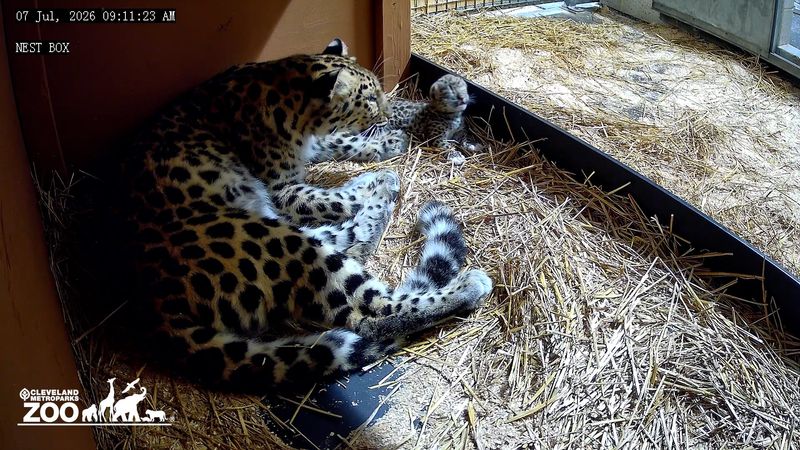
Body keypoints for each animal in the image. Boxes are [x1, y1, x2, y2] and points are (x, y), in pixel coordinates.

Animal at [118, 38, 493, 389]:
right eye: (370, 99)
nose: (387, 115)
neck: (287, 105)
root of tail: (155, 301)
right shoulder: (280, 189)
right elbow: (332, 197)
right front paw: (377, 169)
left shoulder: (311, 148)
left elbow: (340, 142)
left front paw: (385, 144)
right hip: (271, 237)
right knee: (369, 313)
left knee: (349, 244)